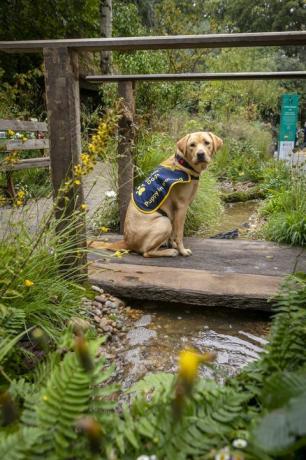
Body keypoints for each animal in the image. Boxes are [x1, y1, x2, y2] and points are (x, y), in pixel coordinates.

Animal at [91, 131, 222, 256]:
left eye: (207, 142)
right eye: (192, 145)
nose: (200, 154)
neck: (183, 164)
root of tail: (126, 241)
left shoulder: (174, 211)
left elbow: (173, 235)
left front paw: (173, 244)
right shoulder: (181, 207)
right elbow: (179, 234)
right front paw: (182, 251)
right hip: (164, 222)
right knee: (146, 253)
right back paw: (169, 252)